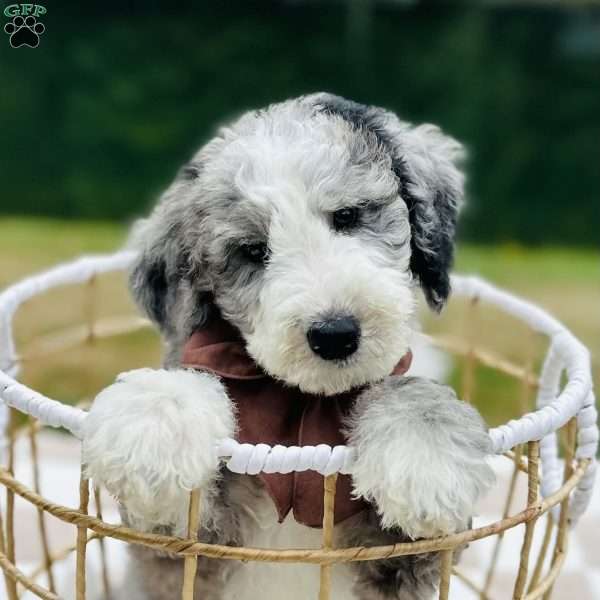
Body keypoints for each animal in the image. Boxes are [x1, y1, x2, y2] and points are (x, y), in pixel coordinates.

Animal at [82, 94, 492, 600]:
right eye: (254, 251)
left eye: (347, 216)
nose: (335, 333)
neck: (302, 404)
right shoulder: (184, 552)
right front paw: (152, 424)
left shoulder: (410, 559)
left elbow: (409, 397)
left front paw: (427, 462)